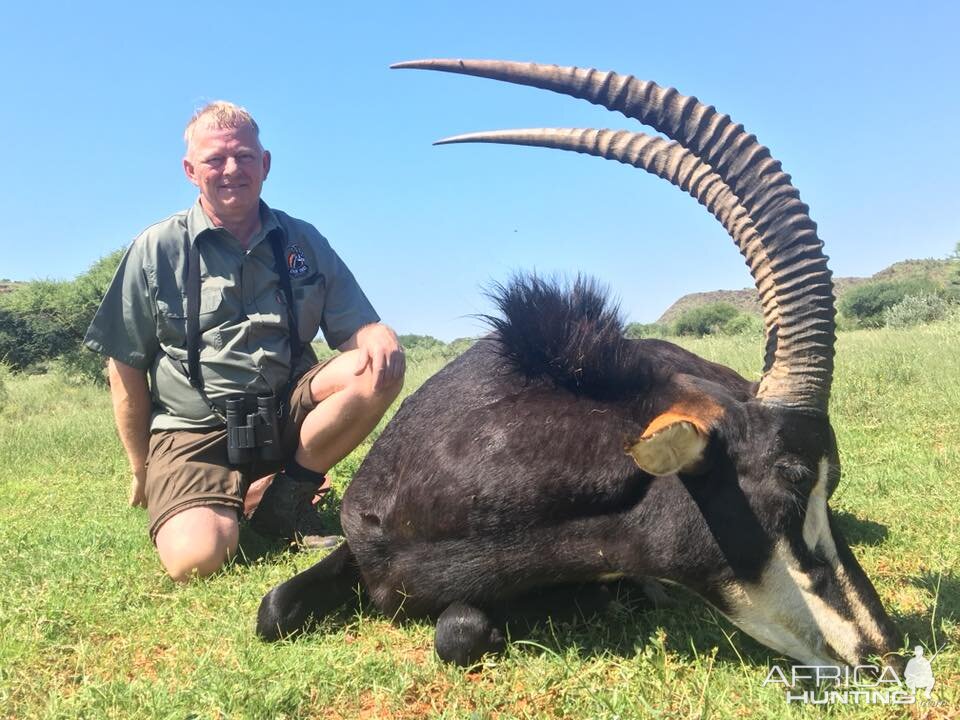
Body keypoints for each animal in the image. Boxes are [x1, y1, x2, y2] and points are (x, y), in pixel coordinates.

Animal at [255, 59, 900, 668]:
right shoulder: (358, 544)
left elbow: (459, 628)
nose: (884, 648)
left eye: (827, 481)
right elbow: (273, 609)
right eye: (791, 479)